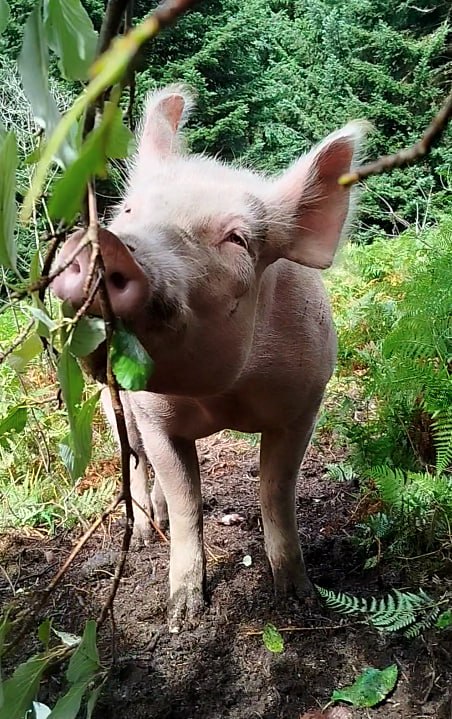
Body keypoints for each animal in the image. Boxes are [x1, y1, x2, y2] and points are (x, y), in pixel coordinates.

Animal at [52, 85, 367, 632]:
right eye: (128, 212)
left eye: (237, 239)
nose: (105, 246)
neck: (225, 399)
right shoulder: (156, 419)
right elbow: (186, 503)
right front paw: (182, 616)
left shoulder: (305, 403)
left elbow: (276, 492)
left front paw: (300, 598)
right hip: (113, 401)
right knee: (133, 457)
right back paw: (146, 525)